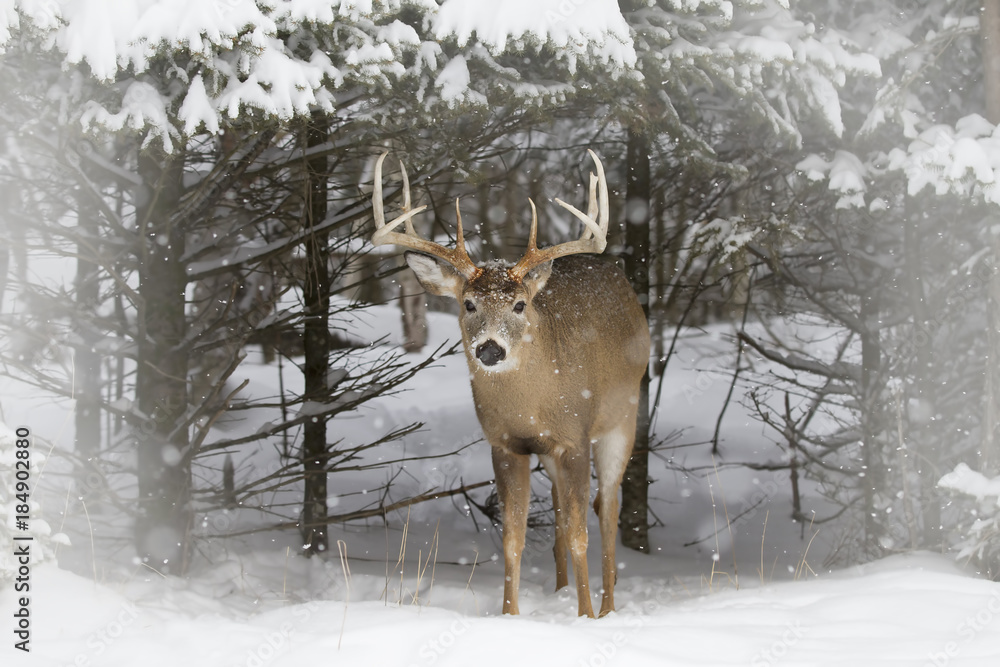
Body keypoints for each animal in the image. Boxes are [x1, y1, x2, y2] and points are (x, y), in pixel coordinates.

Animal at [370, 151, 650, 618]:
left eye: (519, 305)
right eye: (468, 303)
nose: (489, 349)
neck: (531, 405)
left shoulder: (575, 437)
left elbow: (581, 534)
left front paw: (586, 616)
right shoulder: (506, 444)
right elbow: (512, 537)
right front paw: (510, 615)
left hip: (621, 420)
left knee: (606, 507)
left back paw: (608, 606)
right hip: (551, 453)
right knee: (560, 508)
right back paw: (559, 590)